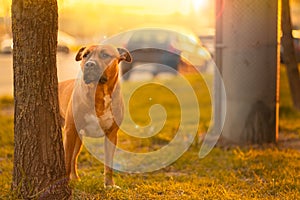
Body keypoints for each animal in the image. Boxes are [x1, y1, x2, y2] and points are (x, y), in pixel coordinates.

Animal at [59, 44, 132, 187]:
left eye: (105, 55)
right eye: (85, 55)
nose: (89, 64)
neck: (99, 91)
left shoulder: (111, 134)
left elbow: (109, 164)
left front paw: (109, 185)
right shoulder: (70, 131)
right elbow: (66, 158)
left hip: (79, 139)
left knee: (74, 158)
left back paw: (75, 178)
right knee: (70, 158)